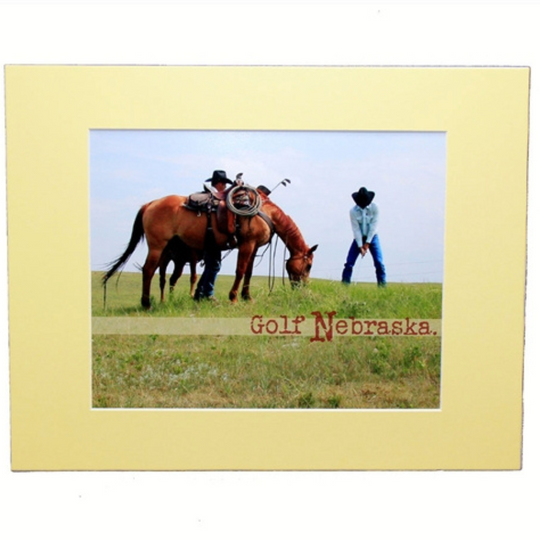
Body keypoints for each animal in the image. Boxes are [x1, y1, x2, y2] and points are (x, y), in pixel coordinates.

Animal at [102, 189, 316, 308]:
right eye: (309, 266)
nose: (303, 287)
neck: (265, 212)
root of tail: (150, 204)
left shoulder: (254, 247)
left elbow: (248, 273)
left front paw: (247, 297)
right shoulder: (246, 244)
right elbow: (240, 271)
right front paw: (233, 298)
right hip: (157, 246)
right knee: (148, 271)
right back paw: (146, 303)